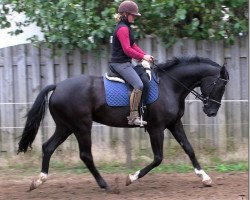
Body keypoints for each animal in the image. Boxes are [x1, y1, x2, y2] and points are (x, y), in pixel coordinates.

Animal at [17, 55, 229, 191]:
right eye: (218, 85)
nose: (211, 112)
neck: (170, 86)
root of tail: (58, 86)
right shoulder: (156, 128)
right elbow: (158, 158)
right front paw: (130, 178)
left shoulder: (174, 124)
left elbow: (189, 149)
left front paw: (205, 178)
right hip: (81, 127)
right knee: (85, 155)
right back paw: (105, 185)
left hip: (65, 127)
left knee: (48, 147)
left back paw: (39, 181)